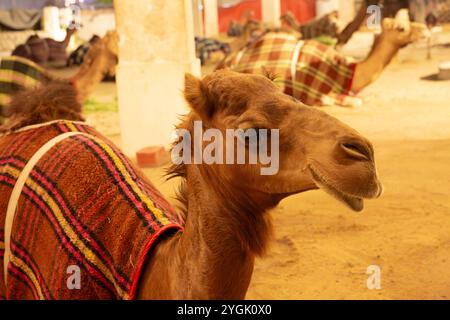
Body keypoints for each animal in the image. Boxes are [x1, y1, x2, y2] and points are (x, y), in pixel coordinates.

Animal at [221, 9, 428, 107]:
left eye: (408, 21)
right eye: (401, 28)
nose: (425, 30)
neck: (349, 72)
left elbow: (362, 98)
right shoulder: (317, 95)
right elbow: (353, 102)